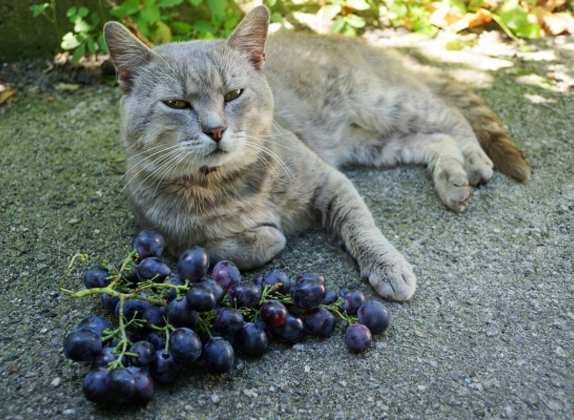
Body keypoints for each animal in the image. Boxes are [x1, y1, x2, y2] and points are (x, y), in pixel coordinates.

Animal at [103, 6, 532, 302]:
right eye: (176, 103)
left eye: (233, 94)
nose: (216, 129)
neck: (227, 186)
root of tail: (355, 41)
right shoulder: (166, 234)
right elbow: (245, 242)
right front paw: (262, 234)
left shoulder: (330, 180)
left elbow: (362, 227)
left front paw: (388, 265)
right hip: (376, 144)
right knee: (435, 141)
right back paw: (452, 180)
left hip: (385, 105)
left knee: (451, 117)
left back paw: (473, 163)